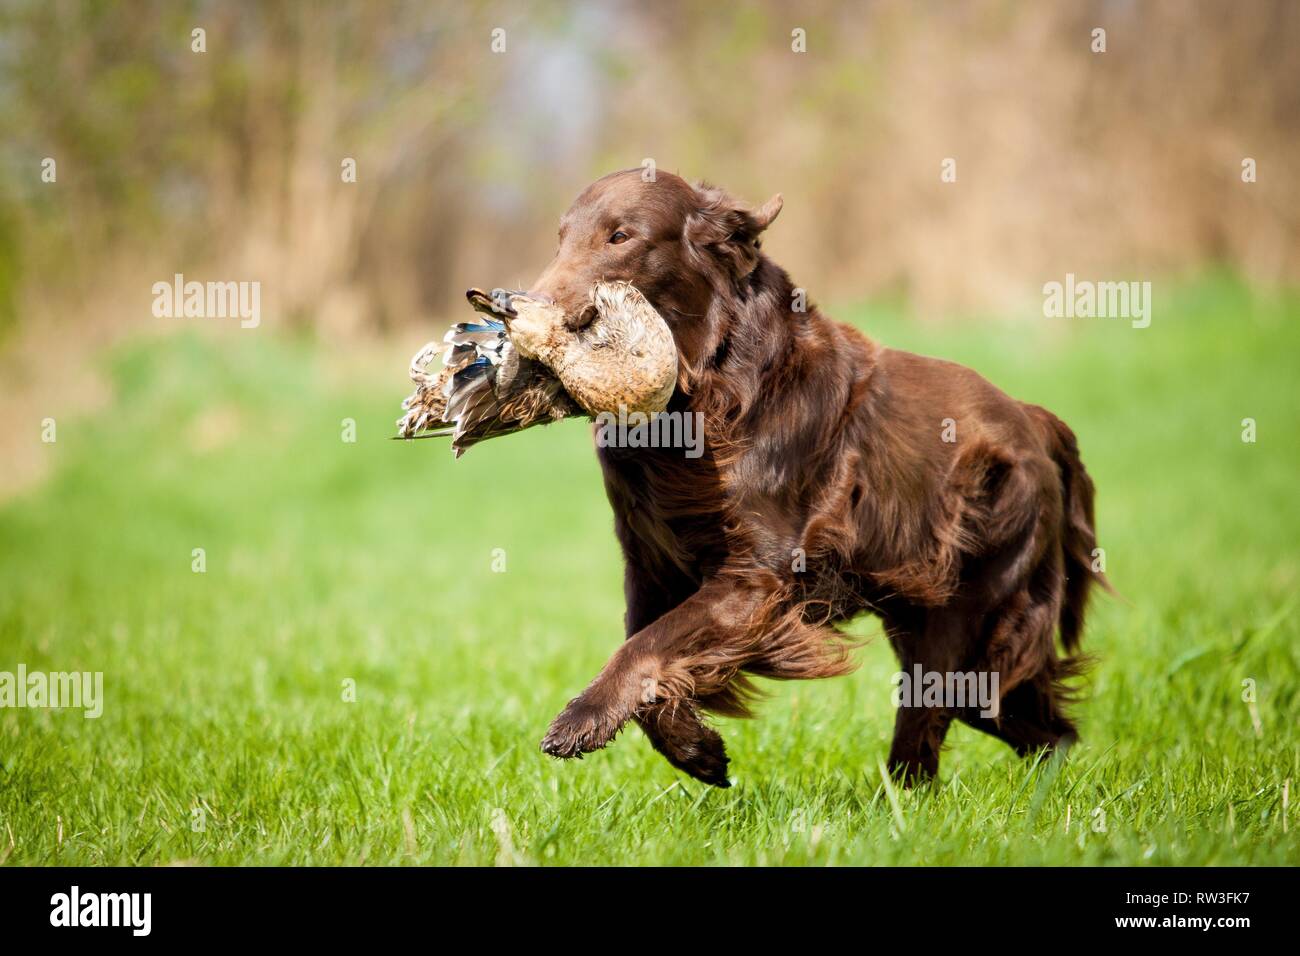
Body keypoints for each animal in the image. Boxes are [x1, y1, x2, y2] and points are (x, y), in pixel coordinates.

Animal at [522, 170, 1102, 785]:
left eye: (620, 237)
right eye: (560, 240)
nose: (530, 315)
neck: (700, 400)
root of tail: (1032, 421)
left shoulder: (758, 576)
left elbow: (646, 646)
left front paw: (582, 717)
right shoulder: (650, 564)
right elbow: (645, 646)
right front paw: (697, 749)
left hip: (968, 614)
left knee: (933, 733)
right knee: (1040, 730)